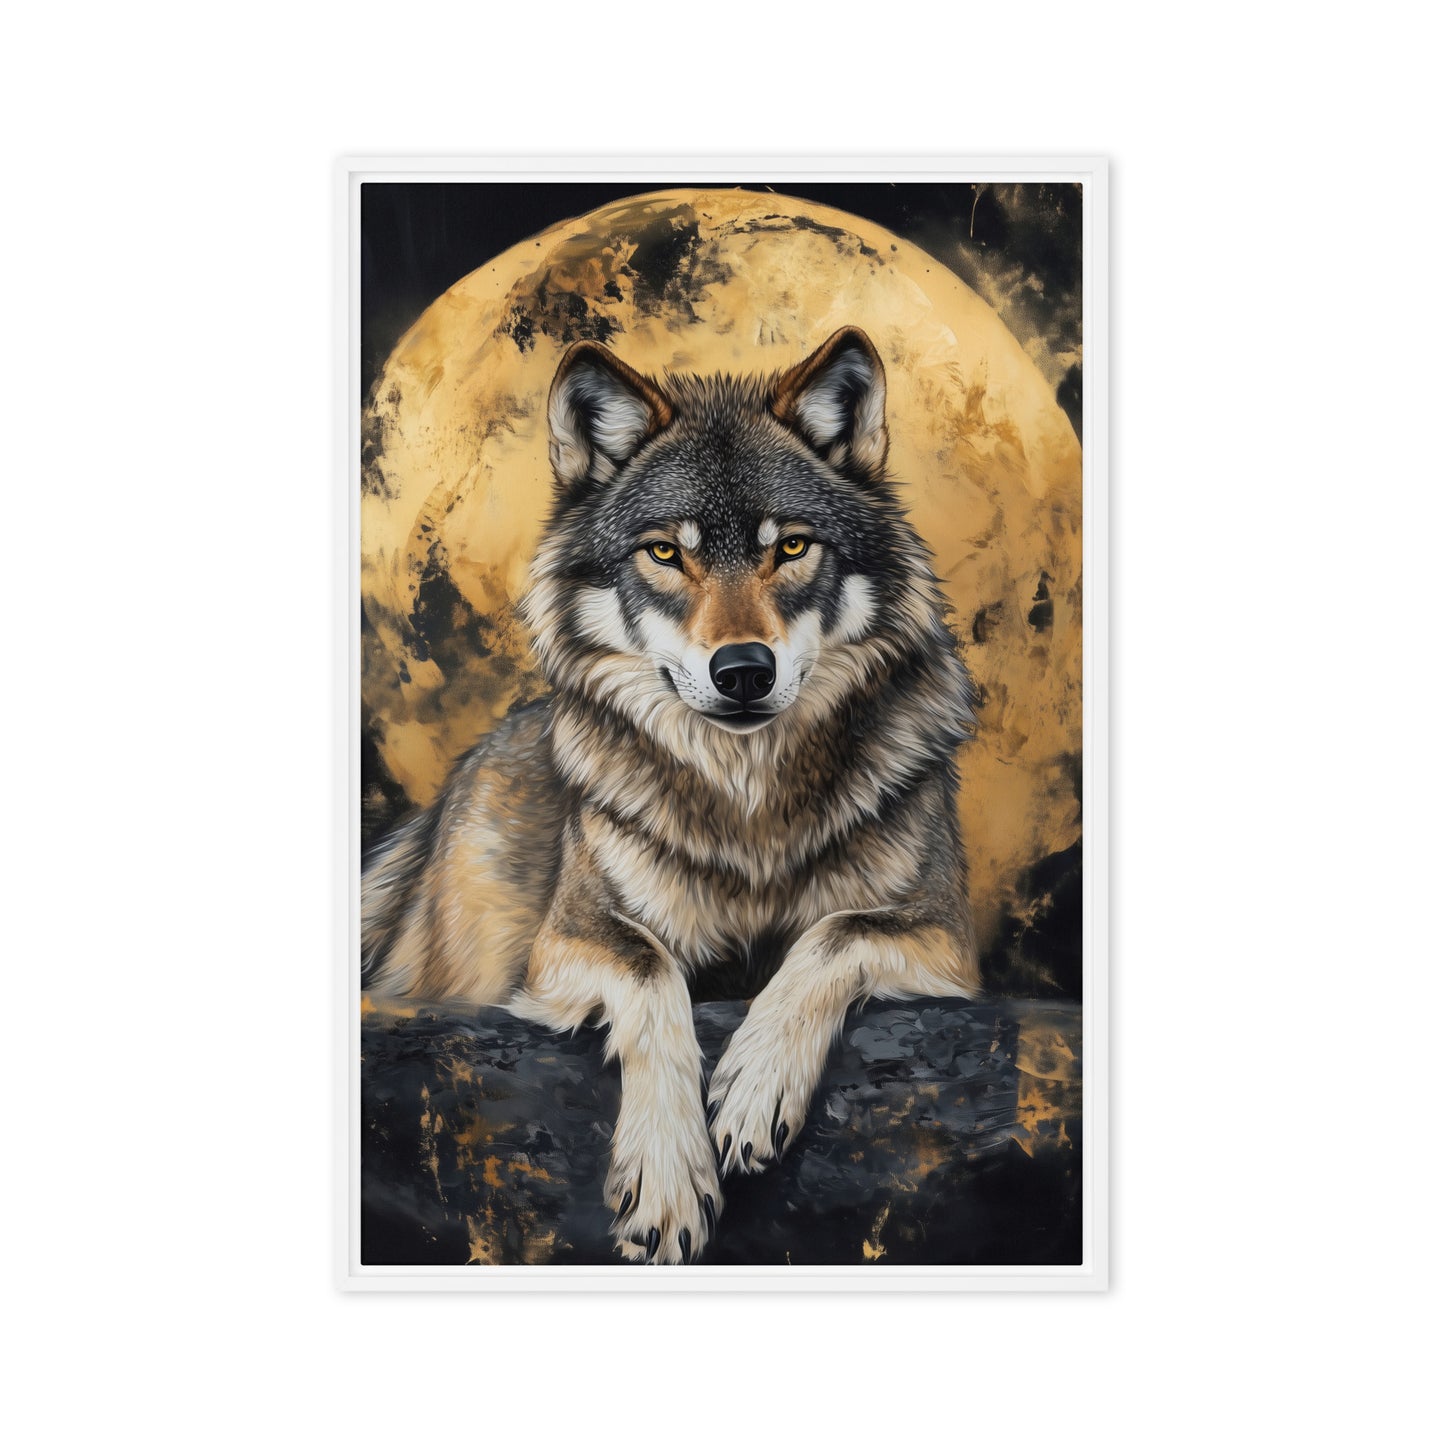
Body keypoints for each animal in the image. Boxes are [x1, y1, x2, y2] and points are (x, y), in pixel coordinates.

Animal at [362, 327, 980, 1264]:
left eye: (789, 547)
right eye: (665, 551)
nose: (743, 670)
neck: (747, 803)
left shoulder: (945, 938)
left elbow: (835, 932)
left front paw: (756, 1082)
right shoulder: (566, 941)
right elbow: (653, 970)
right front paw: (664, 1179)